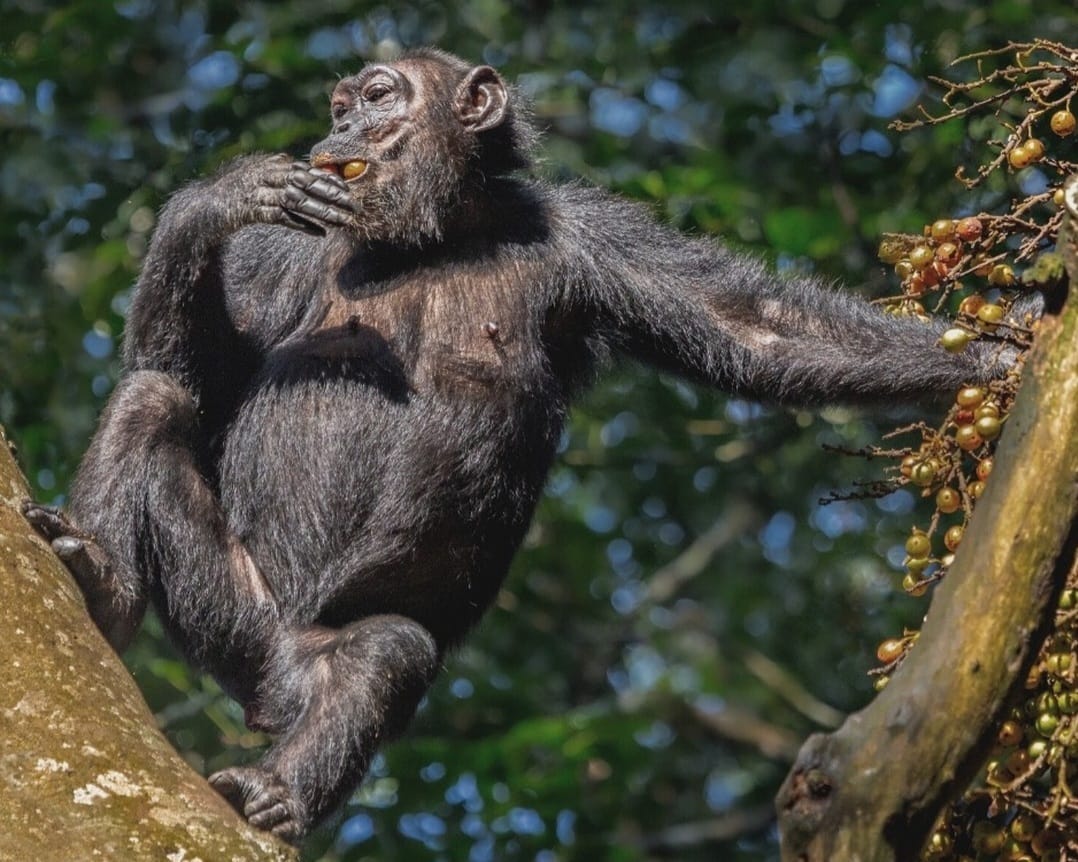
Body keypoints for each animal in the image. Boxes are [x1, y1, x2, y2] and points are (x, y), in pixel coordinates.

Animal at [22, 48, 1024, 841]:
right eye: (344, 103)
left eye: (378, 95)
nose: (342, 124)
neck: (436, 233)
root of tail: (271, 690)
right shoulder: (283, 253)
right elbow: (190, 373)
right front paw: (219, 196)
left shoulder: (590, 237)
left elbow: (757, 329)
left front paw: (1002, 354)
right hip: (232, 617)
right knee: (151, 401)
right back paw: (101, 583)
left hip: (306, 660)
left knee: (385, 657)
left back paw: (277, 795)